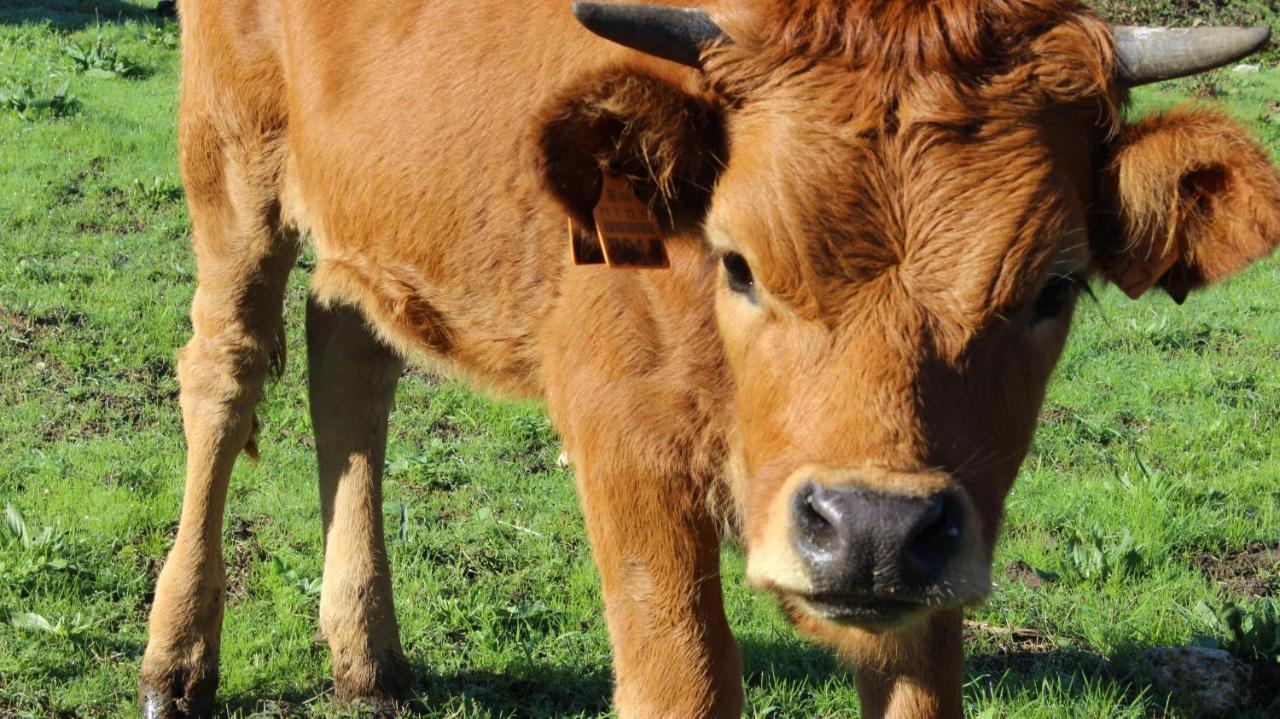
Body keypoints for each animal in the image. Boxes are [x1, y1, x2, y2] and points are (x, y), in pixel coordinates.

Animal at [140, 0, 1280, 711]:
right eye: (738, 262)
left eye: (1051, 288)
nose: (871, 529)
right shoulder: (625, 443)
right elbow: (684, 681)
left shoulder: (930, 552)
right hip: (230, 162)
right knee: (223, 371)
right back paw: (176, 657)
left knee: (350, 360)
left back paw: (366, 656)